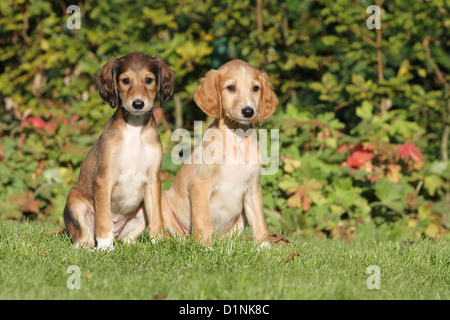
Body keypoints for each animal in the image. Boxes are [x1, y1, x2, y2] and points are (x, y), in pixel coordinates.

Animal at [63, 51, 174, 249]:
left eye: (149, 79)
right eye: (125, 80)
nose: (138, 104)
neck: (135, 130)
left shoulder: (153, 180)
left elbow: (157, 217)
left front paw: (159, 241)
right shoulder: (103, 179)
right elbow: (104, 218)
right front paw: (105, 247)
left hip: (139, 213)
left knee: (127, 240)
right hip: (75, 200)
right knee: (84, 239)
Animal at [162, 59, 278, 245]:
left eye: (255, 88)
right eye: (231, 87)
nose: (248, 111)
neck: (236, 138)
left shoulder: (253, 188)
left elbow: (260, 223)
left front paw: (264, 247)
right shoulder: (199, 184)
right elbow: (203, 222)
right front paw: (204, 247)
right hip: (163, 200)